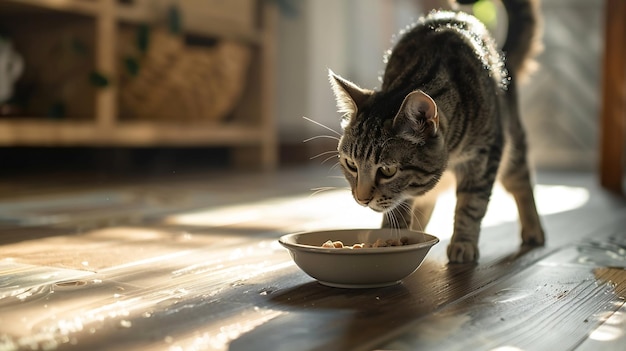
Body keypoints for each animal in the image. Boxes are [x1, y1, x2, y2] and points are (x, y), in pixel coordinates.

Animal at [330, 0, 544, 264]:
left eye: (387, 171)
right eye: (351, 164)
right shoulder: (408, 191)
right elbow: (401, 205)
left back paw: (533, 230)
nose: (361, 199)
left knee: (521, 183)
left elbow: (471, 205)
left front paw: (463, 243)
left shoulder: (484, 155)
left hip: (511, 147)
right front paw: (392, 238)